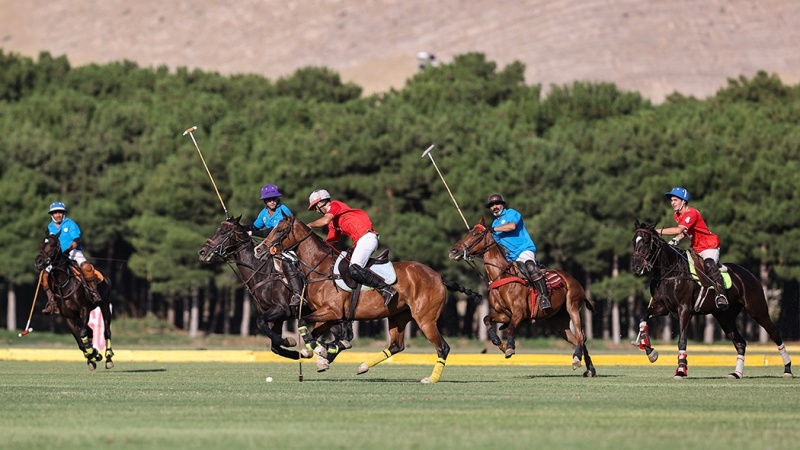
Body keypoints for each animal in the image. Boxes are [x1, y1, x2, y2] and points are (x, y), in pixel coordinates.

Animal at [34, 232, 114, 370]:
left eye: (53, 245)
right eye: (41, 244)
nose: (38, 261)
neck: (63, 283)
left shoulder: (84, 309)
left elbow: (82, 333)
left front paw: (94, 354)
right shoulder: (68, 316)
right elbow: (80, 341)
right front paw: (92, 356)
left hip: (104, 304)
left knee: (106, 331)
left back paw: (108, 358)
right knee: (90, 331)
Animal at [256, 217, 456, 384]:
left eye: (280, 230)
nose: (259, 250)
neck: (321, 268)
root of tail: (439, 277)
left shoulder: (333, 311)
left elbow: (303, 322)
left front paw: (319, 351)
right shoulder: (332, 315)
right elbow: (315, 331)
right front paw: (318, 352)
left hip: (425, 319)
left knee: (443, 347)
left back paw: (431, 379)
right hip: (398, 317)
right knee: (396, 346)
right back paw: (363, 366)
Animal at [446, 217, 596, 376]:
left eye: (475, 234)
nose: (453, 251)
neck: (501, 276)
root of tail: (573, 280)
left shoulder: (519, 312)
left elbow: (511, 328)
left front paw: (509, 347)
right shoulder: (504, 314)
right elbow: (486, 319)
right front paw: (499, 343)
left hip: (572, 306)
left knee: (580, 335)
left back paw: (577, 359)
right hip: (557, 320)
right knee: (578, 339)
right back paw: (589, 368)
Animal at [632, 221, 792, 380]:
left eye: (645, 241)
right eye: (634, 241)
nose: (636, 267)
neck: (669, 272)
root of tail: (750, 275)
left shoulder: (684, 309)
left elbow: (682, 340)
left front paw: (681, 370)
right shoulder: (662, 307)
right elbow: (643, 316)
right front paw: (650, 351)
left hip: (756, 309)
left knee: (774, 333)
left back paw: (788, 369)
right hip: (724, 316)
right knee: (740, 343)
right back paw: (736, 373)